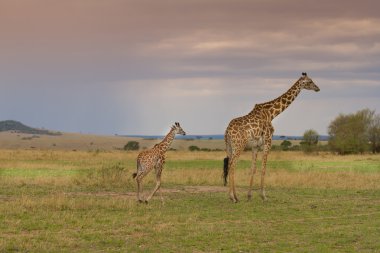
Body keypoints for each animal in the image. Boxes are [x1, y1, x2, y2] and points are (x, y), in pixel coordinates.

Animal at [224, 72, 320, 203]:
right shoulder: (268, 141)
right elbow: (264, 168)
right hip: (239, 145)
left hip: (229, 146)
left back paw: (234, 196)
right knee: (233, 165)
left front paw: (249, 196)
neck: (271, 113)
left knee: (230, 165)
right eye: (310, 81)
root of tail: (227, 131)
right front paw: (263, 196)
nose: (317, 88)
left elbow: (253, 168)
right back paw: (233, 197)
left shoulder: (255, 146)